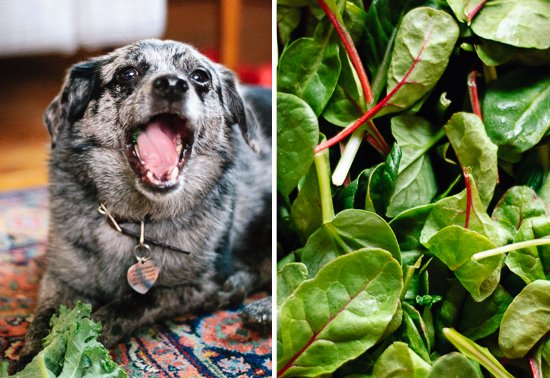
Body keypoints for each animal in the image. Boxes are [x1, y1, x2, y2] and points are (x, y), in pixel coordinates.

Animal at [16, 39, 274, 370]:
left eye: (200, 76)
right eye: (127, 73)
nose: (173, 85)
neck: (135, 219)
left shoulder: (193, 285)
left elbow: (132, 303)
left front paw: (86, 338)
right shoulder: (61, 277)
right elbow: (44, 318)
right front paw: (32, 357)